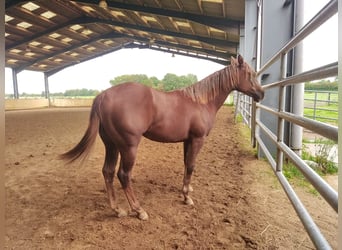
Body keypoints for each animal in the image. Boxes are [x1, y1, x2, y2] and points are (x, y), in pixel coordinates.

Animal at [60, 55, 264, 220]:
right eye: (249, 73)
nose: (261, 94)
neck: (201, 102)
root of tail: (103, 96)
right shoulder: (198, 139)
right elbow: (191, 165)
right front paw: (187, 197)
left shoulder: (187, 140)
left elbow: (186, 164)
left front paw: (187, 189)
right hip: (128, 147)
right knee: (123, 175)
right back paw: (139, 210)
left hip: (112, 145)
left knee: (108, 172)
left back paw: (117, 210)